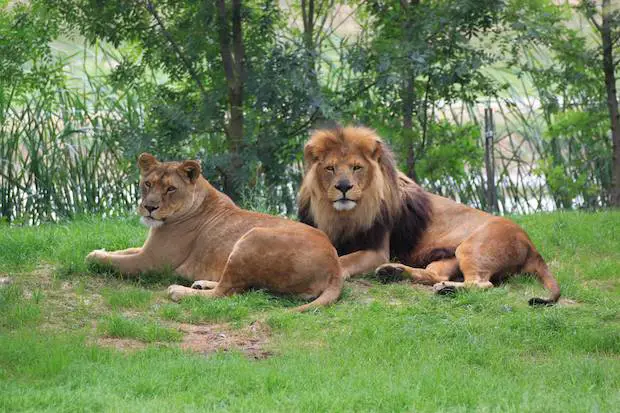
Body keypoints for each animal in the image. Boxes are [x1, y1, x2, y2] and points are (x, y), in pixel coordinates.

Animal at [86, 153, 344, 310]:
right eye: (148, 184)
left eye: (170, 189)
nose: (149, 207)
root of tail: (334, 264)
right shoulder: (146, 249)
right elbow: (122, 251)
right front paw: (100, 250)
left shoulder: (150, 262)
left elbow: (114, 262)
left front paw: (93, 256)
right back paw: (201, 283)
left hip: (252, 237)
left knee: (226, 291)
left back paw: (179, 291)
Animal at [300, 124, 560, 304]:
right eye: (330, 168)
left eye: (356, 167)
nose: (343, 187)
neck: (340, 215)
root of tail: (530, 245)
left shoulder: (377, 251)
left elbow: (344, 259)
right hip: (448, 258)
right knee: (433, 274)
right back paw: (394, 273)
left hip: (472, 247)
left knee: (482, 284)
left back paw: (447, 288)